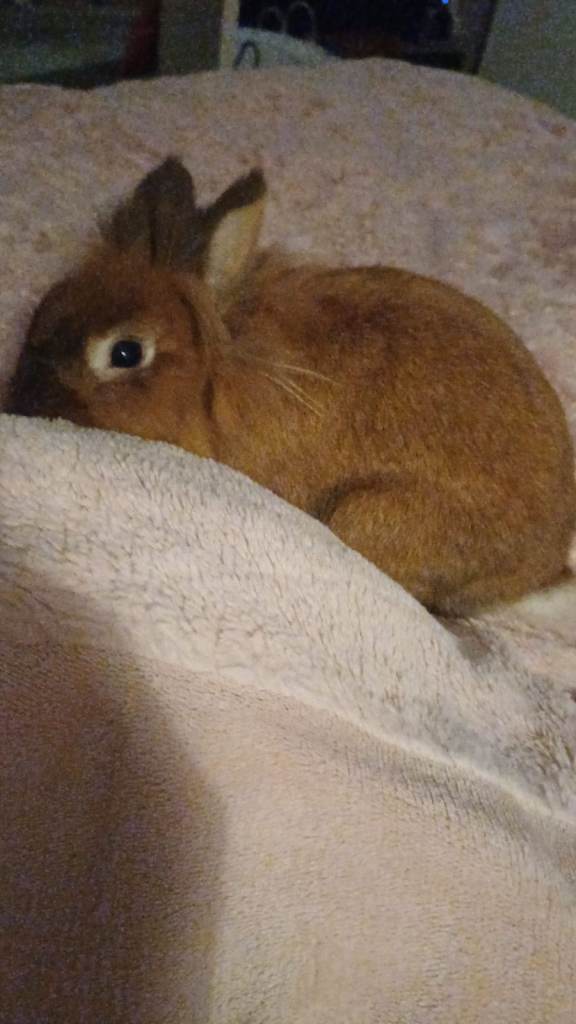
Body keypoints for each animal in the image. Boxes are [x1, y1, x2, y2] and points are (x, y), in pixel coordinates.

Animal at [8, 156, 576, 617]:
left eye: (125, 353)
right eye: (43, 309)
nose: (20, 401)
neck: (216, 371)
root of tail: (540, 568)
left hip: (370, 516)